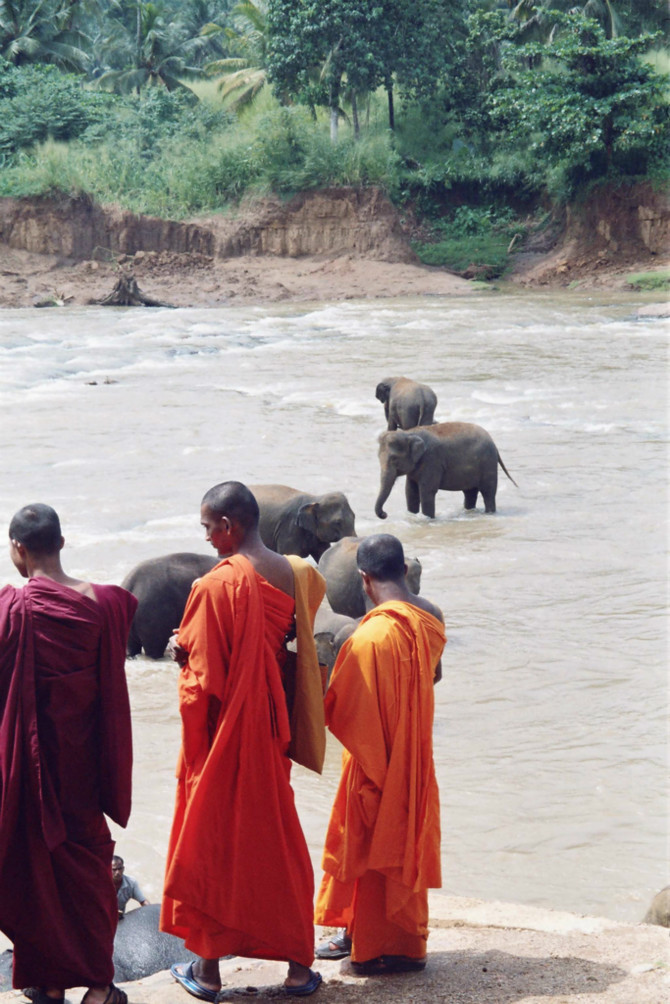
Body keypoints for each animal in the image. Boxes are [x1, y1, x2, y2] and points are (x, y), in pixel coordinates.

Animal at [375, 421, 518, 518]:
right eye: (378, 457)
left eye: (394, 458)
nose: (384, 514)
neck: (409, 433)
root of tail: (494, 444)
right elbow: (410, 491)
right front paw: (413, 516)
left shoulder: (432, 461)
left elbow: (427, 491)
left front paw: (428, 519)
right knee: (470, 492)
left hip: (488, 464)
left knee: (488, 492)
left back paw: (489, 513)